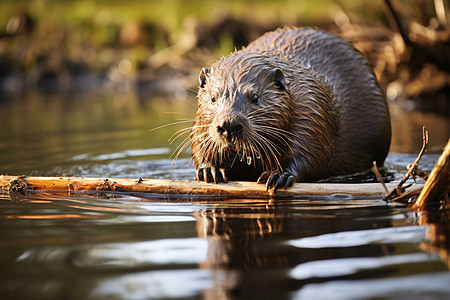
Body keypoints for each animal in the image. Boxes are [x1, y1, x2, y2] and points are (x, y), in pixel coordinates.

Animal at [190, 28, 390, 192]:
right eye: (213, 98)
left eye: (255, 98)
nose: (229, 124)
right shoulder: (200, 123)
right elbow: (199, 143)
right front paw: (209, 169)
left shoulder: (311, 111)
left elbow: (312, 155)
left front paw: (279, 175)